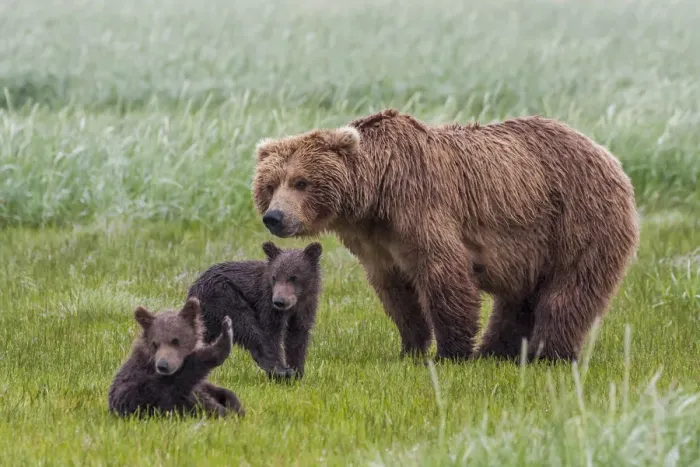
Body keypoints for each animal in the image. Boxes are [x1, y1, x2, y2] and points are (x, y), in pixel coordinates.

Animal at [108, 297, 244, 418]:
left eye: (175, 340)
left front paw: (233, 403)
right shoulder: (142, 386)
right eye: (155, 343)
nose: (163, 365)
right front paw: (225, 334)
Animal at [187, 241, 322, 380]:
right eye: (274, 277)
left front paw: (298, 372)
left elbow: (297, 338)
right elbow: (270, 333)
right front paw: (282, 371)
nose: (279, 301)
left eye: (293, 277)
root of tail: (194, 287)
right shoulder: (267, 302)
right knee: (246, 325)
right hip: (223, 296)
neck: (296, 302)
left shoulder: (306, 307)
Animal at [251, 108, 640, 363]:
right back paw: (496, 351)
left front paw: (450, 352)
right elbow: (396, 294)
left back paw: (549, 353)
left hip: (578, 220)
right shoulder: (376, 244)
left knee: (569, 290)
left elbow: (444, 276)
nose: (275, 217)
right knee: (518, 298)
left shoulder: (421, 208)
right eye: (270, 184)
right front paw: (410, 348)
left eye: (301, 182)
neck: (375, 196)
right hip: (533, 245)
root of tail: (609, 156)